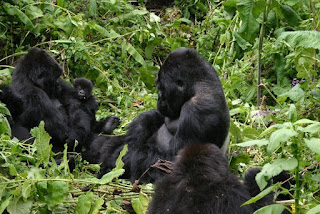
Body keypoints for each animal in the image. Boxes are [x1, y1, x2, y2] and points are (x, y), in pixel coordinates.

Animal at [89, 48, 230, 182]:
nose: (159, 98)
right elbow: (156, 118)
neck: (200, 86)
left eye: (162, 88)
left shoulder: (198, 111)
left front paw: (123, 155)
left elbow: (173, 160)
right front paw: (140, 127)